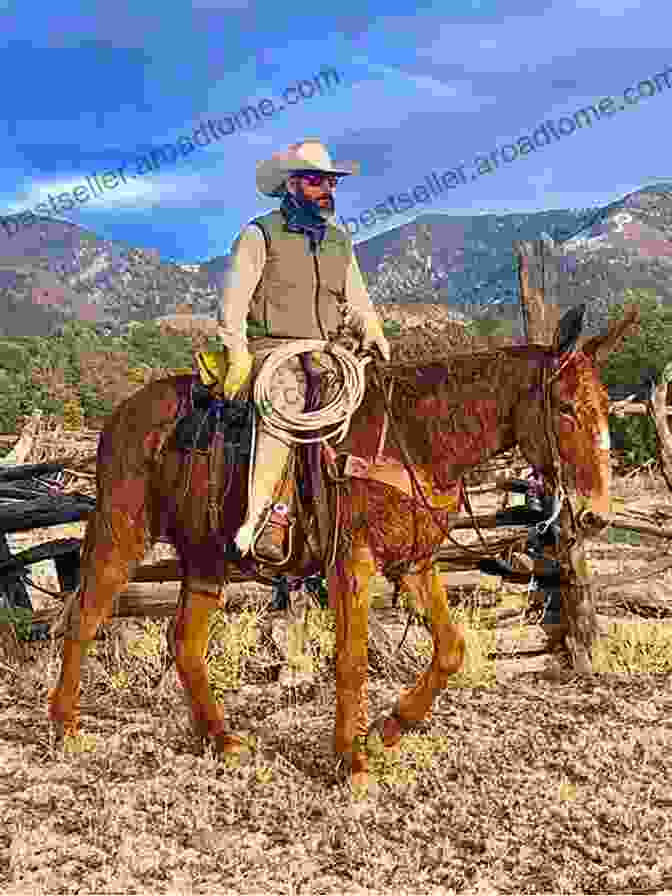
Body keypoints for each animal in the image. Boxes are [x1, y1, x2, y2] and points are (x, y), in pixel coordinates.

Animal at [48, 306, 632, 784]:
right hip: (121, 532)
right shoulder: (351, 562)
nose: (597, 513)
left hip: (205, 556)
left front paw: (386, 731)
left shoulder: (415, 563)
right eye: (564, 407)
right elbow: (351, 658)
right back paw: (65, 727)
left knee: (185, 641)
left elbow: (449, 649)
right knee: (84, 618)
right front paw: (352, 761)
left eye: (605, 405)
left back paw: (221, 738)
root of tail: (123, 415)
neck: (416, 438)